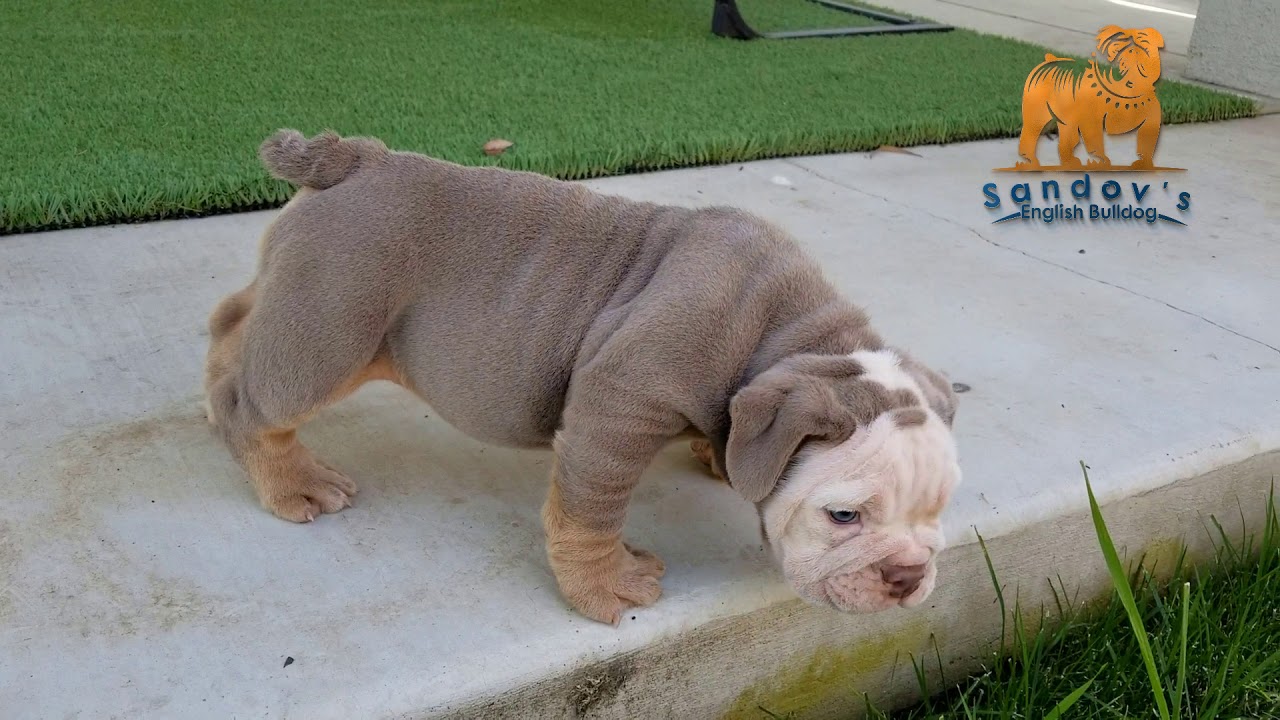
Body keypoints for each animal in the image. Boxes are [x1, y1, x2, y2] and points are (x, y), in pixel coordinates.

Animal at [202, 128, 962, 622]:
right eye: (843, 516)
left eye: (939, 508)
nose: (908, 576)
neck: (784, 331)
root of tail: (354, 158)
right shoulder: (616, 411)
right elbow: (589, 513)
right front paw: (608, 586)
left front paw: (720, 456)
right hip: (328, 330)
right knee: (259, 404)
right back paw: (290, 480)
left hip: (298, 294)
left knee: (235, 319)